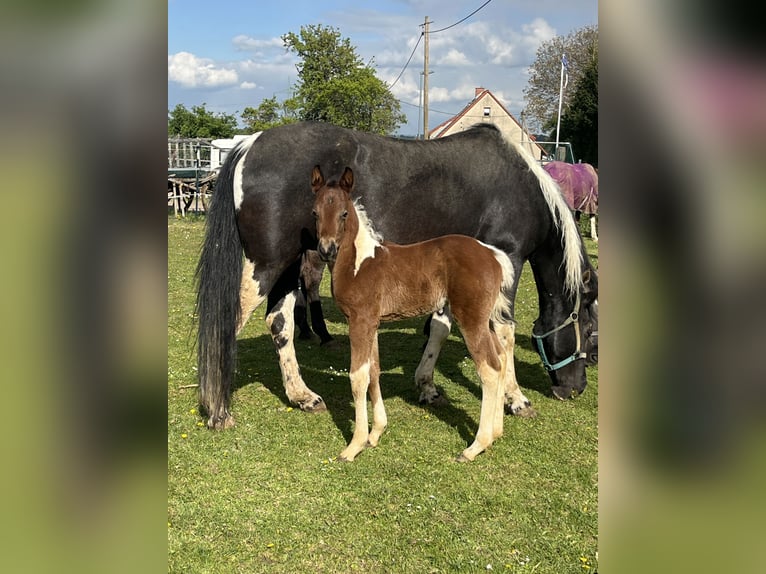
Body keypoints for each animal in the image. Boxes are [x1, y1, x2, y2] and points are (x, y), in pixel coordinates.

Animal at [197, 121, 598, 430]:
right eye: (591, 328)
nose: (576, 389)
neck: (520, 186)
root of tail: (249, 144)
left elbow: (440, 327)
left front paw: (427, 386)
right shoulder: (507, 260)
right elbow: (505, 332)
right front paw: (516, 399)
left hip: (289, 264)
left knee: (280, 322)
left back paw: (302, 396)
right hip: (266, 266)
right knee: (229, 322)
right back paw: (217, 410)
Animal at [311, 165, 529, 461]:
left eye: (344, 213)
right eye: (315, 212)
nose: (326, 249)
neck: (359, 262)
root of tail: (493, 254)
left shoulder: (359, 321)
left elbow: (358, 377)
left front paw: (354, 445)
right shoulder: (372, 323)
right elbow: (374, 371)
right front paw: (376, 433)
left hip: (471, 319)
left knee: (490, 368)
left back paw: (475, 446)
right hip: (487, 321)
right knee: (502, 358)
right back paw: (495, 434)